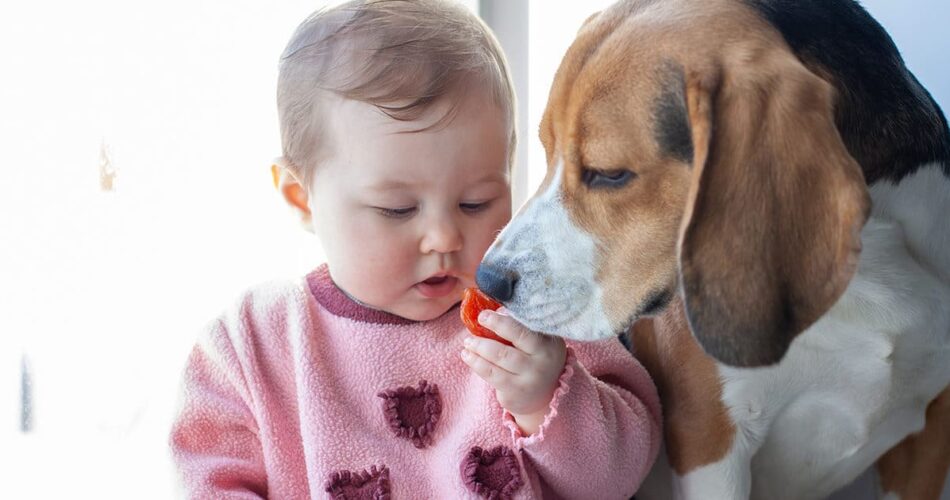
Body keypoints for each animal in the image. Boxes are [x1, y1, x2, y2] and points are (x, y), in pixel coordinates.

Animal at [480, 0, 948, 500]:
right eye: (546, 150)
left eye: (609, 174)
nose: (488, 279)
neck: (871, 277)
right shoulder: (709, 438)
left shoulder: (930, 439)